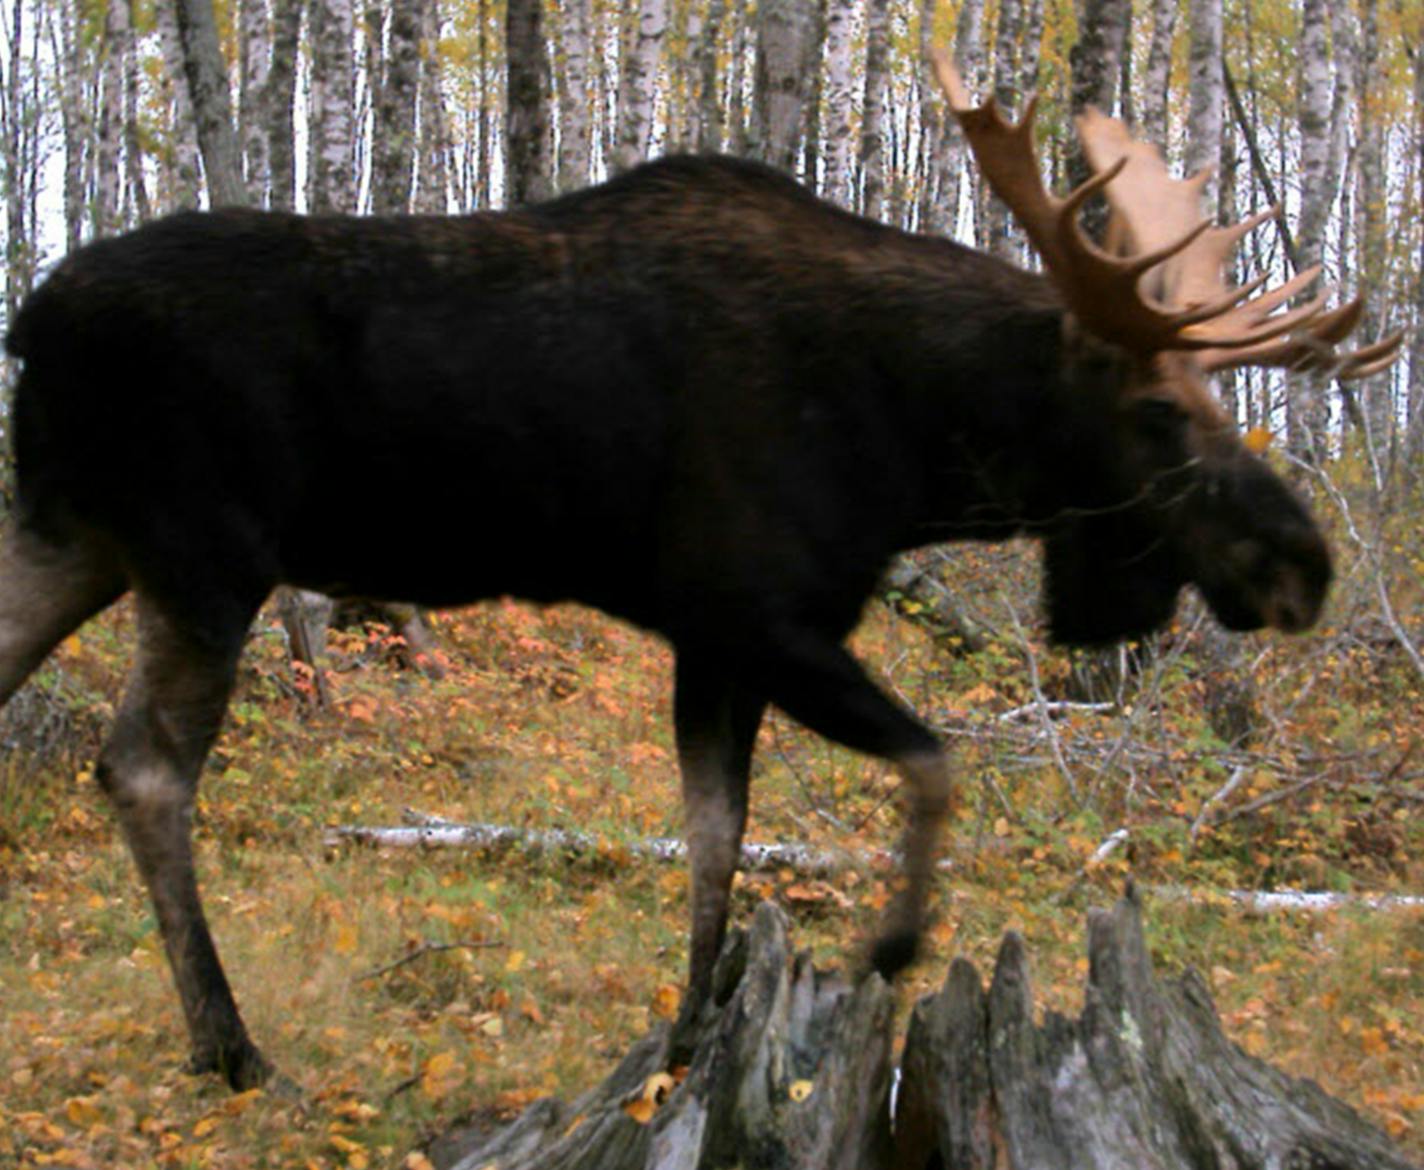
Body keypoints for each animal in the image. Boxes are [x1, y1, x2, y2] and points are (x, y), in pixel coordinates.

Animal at [0, 57, 1401, 1093]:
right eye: (1161, 412)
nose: (1302, 566)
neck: (916, 445)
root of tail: (31, 321)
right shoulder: (750, 607)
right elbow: (930, 764)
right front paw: (887, 944)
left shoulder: (714, 639)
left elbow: (716, 837)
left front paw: (687, 1036)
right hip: (202, 555)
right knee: (144, 769)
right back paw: (233, 1049)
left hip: (75, 539)